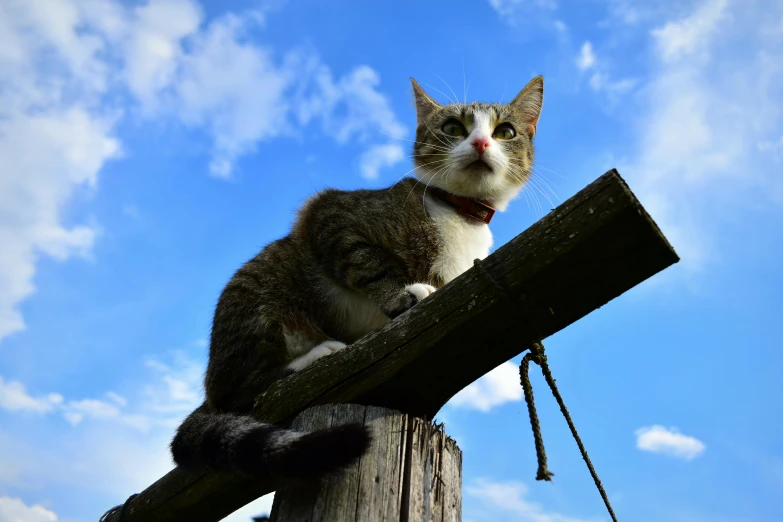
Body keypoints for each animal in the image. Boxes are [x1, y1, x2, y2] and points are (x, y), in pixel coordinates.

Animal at [170, 75, 544, 482]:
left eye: (505, 132)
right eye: (452, 128)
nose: (480, 143)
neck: (460, 215)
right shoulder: (328, 214)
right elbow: (369, 263)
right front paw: (405, 296)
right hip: (259, 299)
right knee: (243, 394)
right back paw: (316, 355)